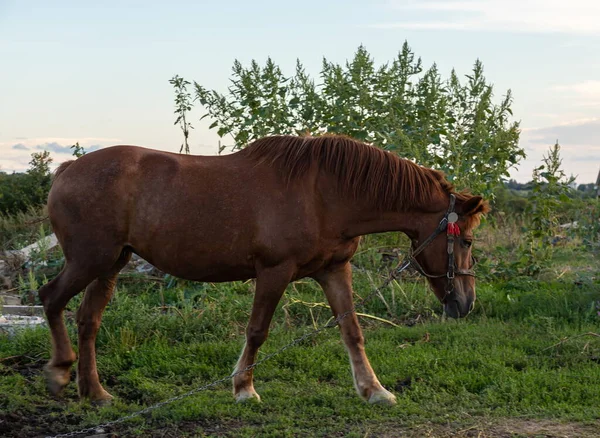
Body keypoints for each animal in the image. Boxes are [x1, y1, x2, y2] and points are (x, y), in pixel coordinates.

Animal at [38, 134, 488, 408]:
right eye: (466, 241)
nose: (466, 304)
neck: (326, 194)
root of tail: (66, 170)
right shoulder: (274, 272)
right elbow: (257, 331)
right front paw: (243, 388)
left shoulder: (334, 271)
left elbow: (352, 331)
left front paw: (374, 390)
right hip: (89, 261)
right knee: (51, 299)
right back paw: (60, 373)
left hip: (110, 265)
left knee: (88, 320)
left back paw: (95, 392)